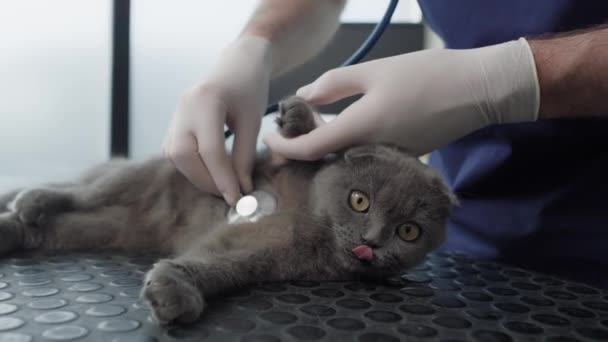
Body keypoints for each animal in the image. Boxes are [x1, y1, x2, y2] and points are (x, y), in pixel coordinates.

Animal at [0, 95, 454, 324]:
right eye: (359, 201)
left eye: (409, 231)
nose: (371, 241)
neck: (311, 220)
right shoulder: (281, 168)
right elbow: (303, 151)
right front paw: (300, 119)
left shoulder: (268, 255)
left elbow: (220, 264)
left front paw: (174, 289)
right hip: (147, 173)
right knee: (83, 192)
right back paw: (33, 200)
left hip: (111, 227)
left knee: (60, 225)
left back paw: (13, 228)